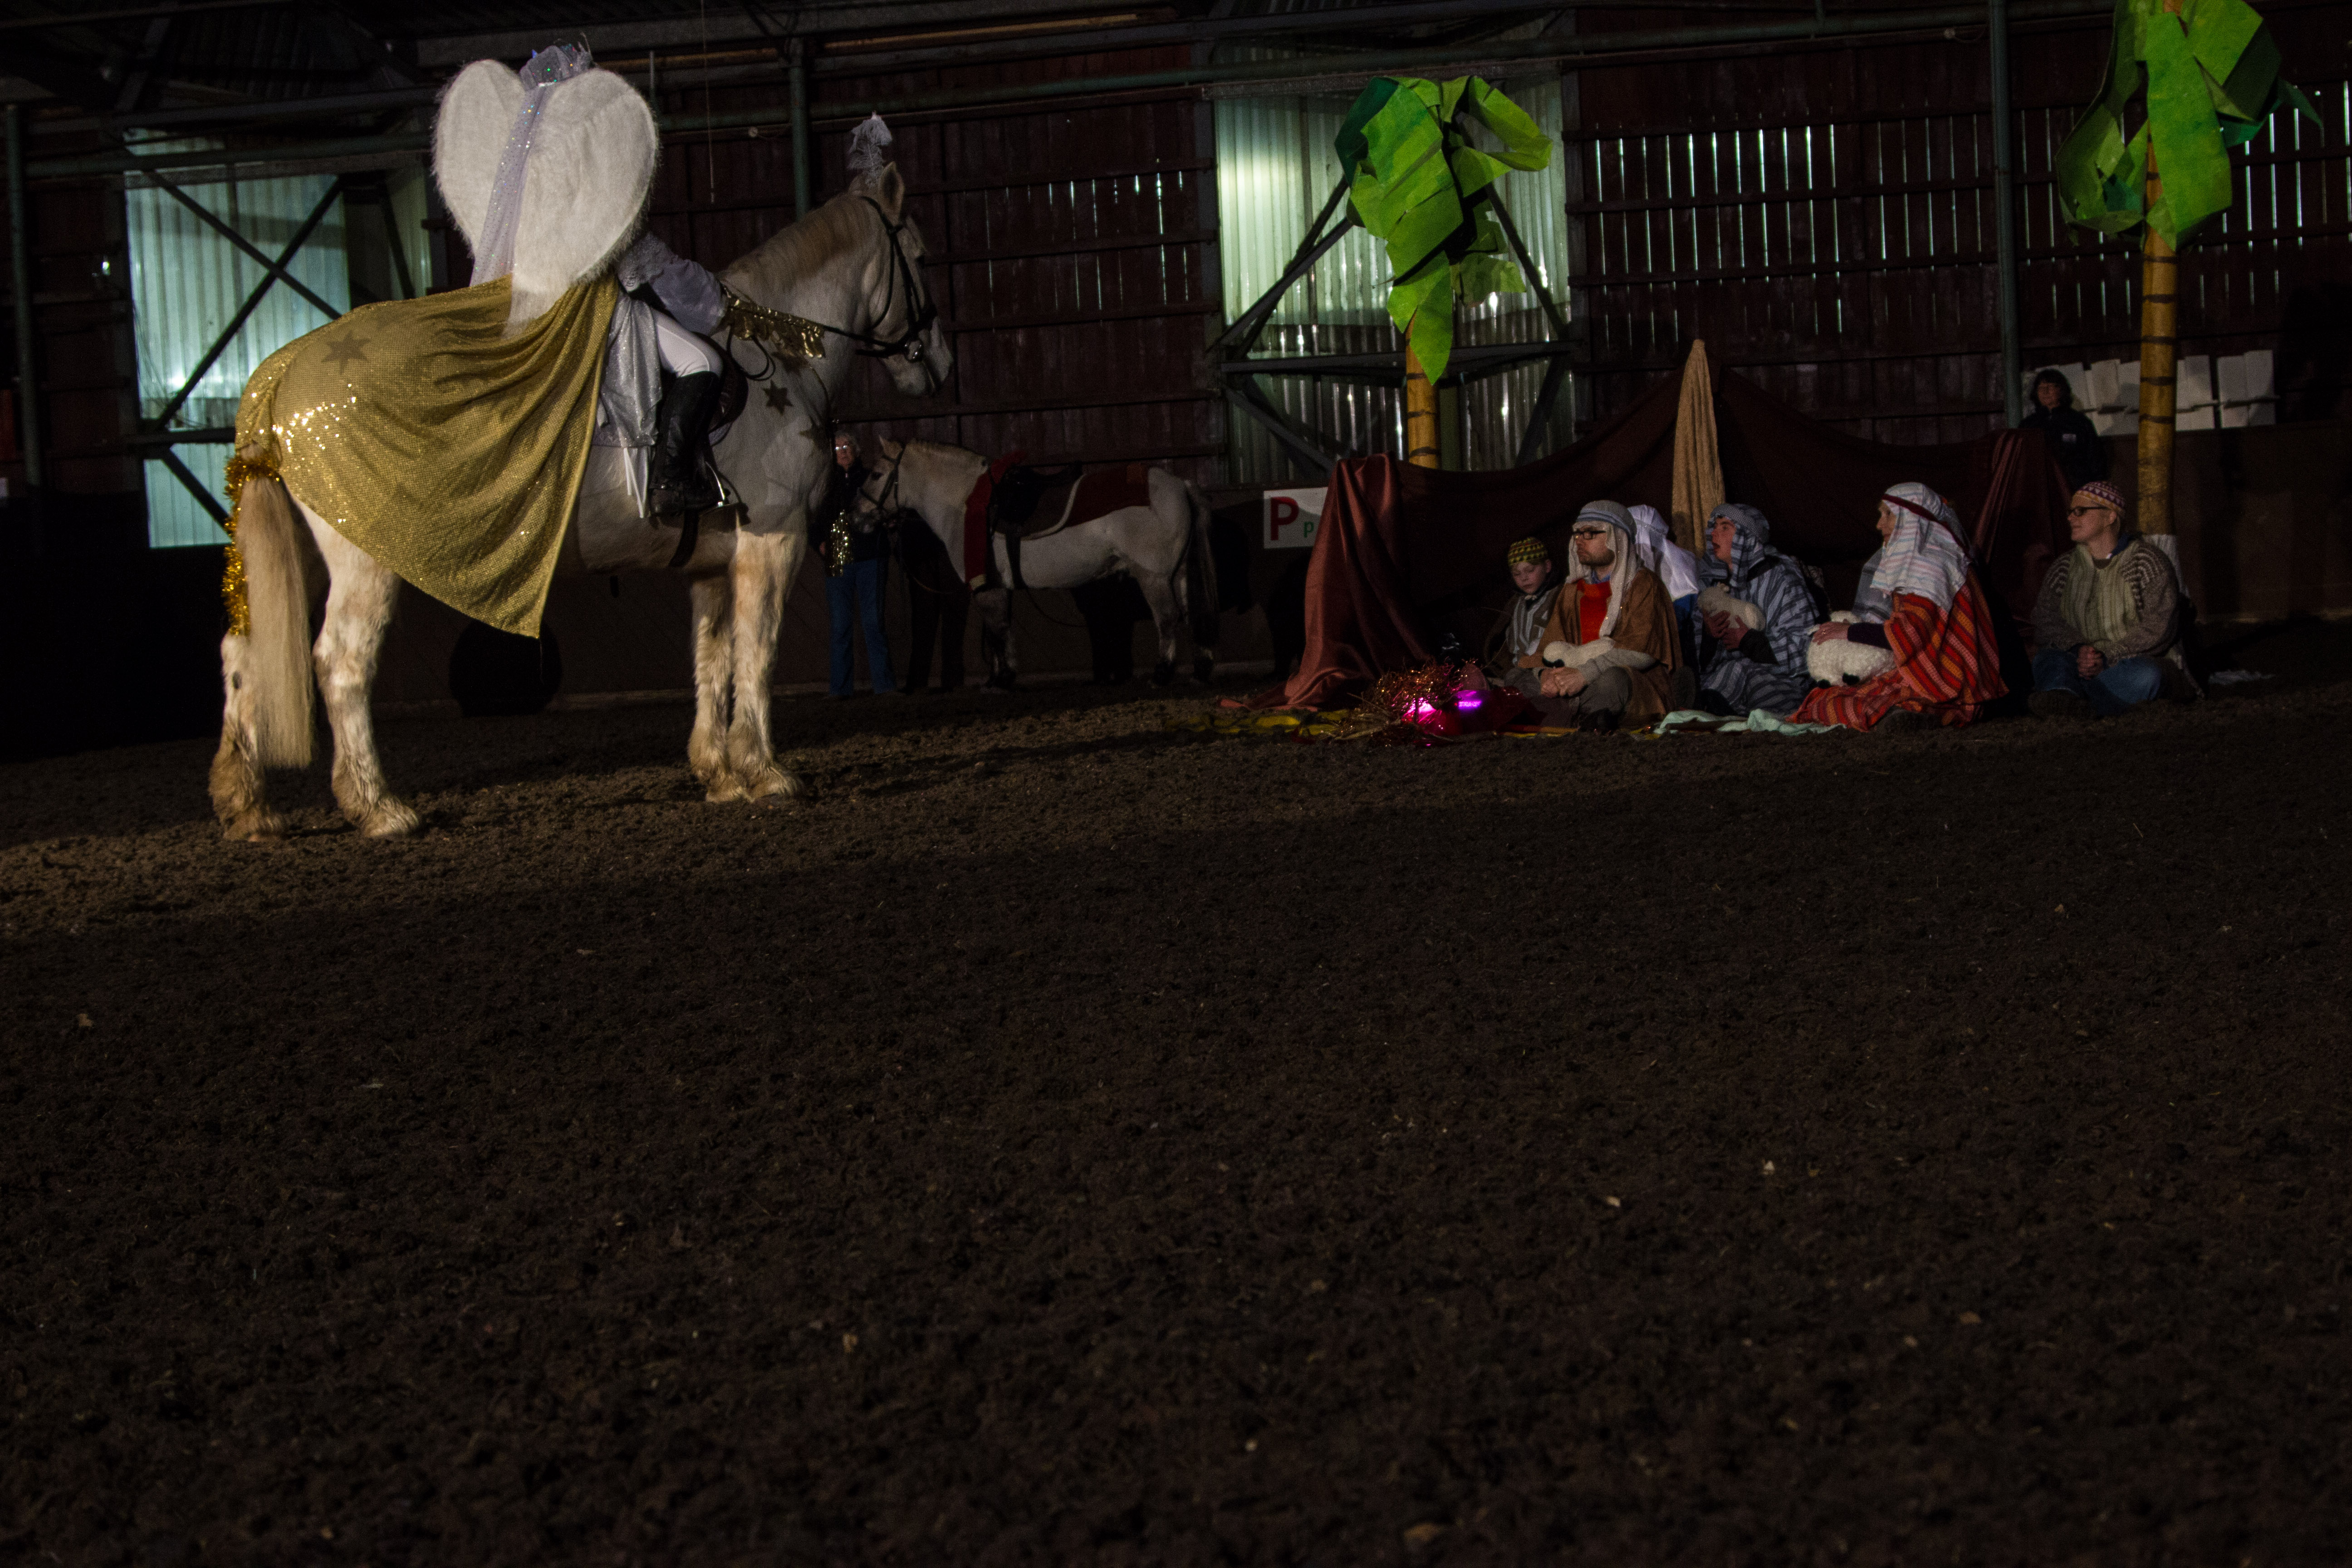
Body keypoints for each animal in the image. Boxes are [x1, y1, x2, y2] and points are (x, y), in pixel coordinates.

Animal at [209, 162, 952, 841]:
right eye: (919, 257)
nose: (941, 367)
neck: (782, 360)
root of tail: (284, 373)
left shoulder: (714, 562)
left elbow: (713, 658)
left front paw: (719, 773)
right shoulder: (773, 542)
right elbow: (759, 652)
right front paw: (765, 772)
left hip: (301, 560)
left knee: (243, 655)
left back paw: (249, 808)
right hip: (367, 563)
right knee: (342, 665)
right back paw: (378, 808)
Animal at [854, 439, 1218, 689]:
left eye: (876, 474)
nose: (857, 517)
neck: (964, 503)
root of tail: (1180, 485)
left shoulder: (986, 585)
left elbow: (997, 630)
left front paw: (1002, 679)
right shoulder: (995, 585)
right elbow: (999, 631)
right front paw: (999, 677)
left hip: (1153, 577)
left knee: (1167, 619)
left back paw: (1162, 674)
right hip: (1178, 573)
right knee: (1191, 614)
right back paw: (1200, 670)